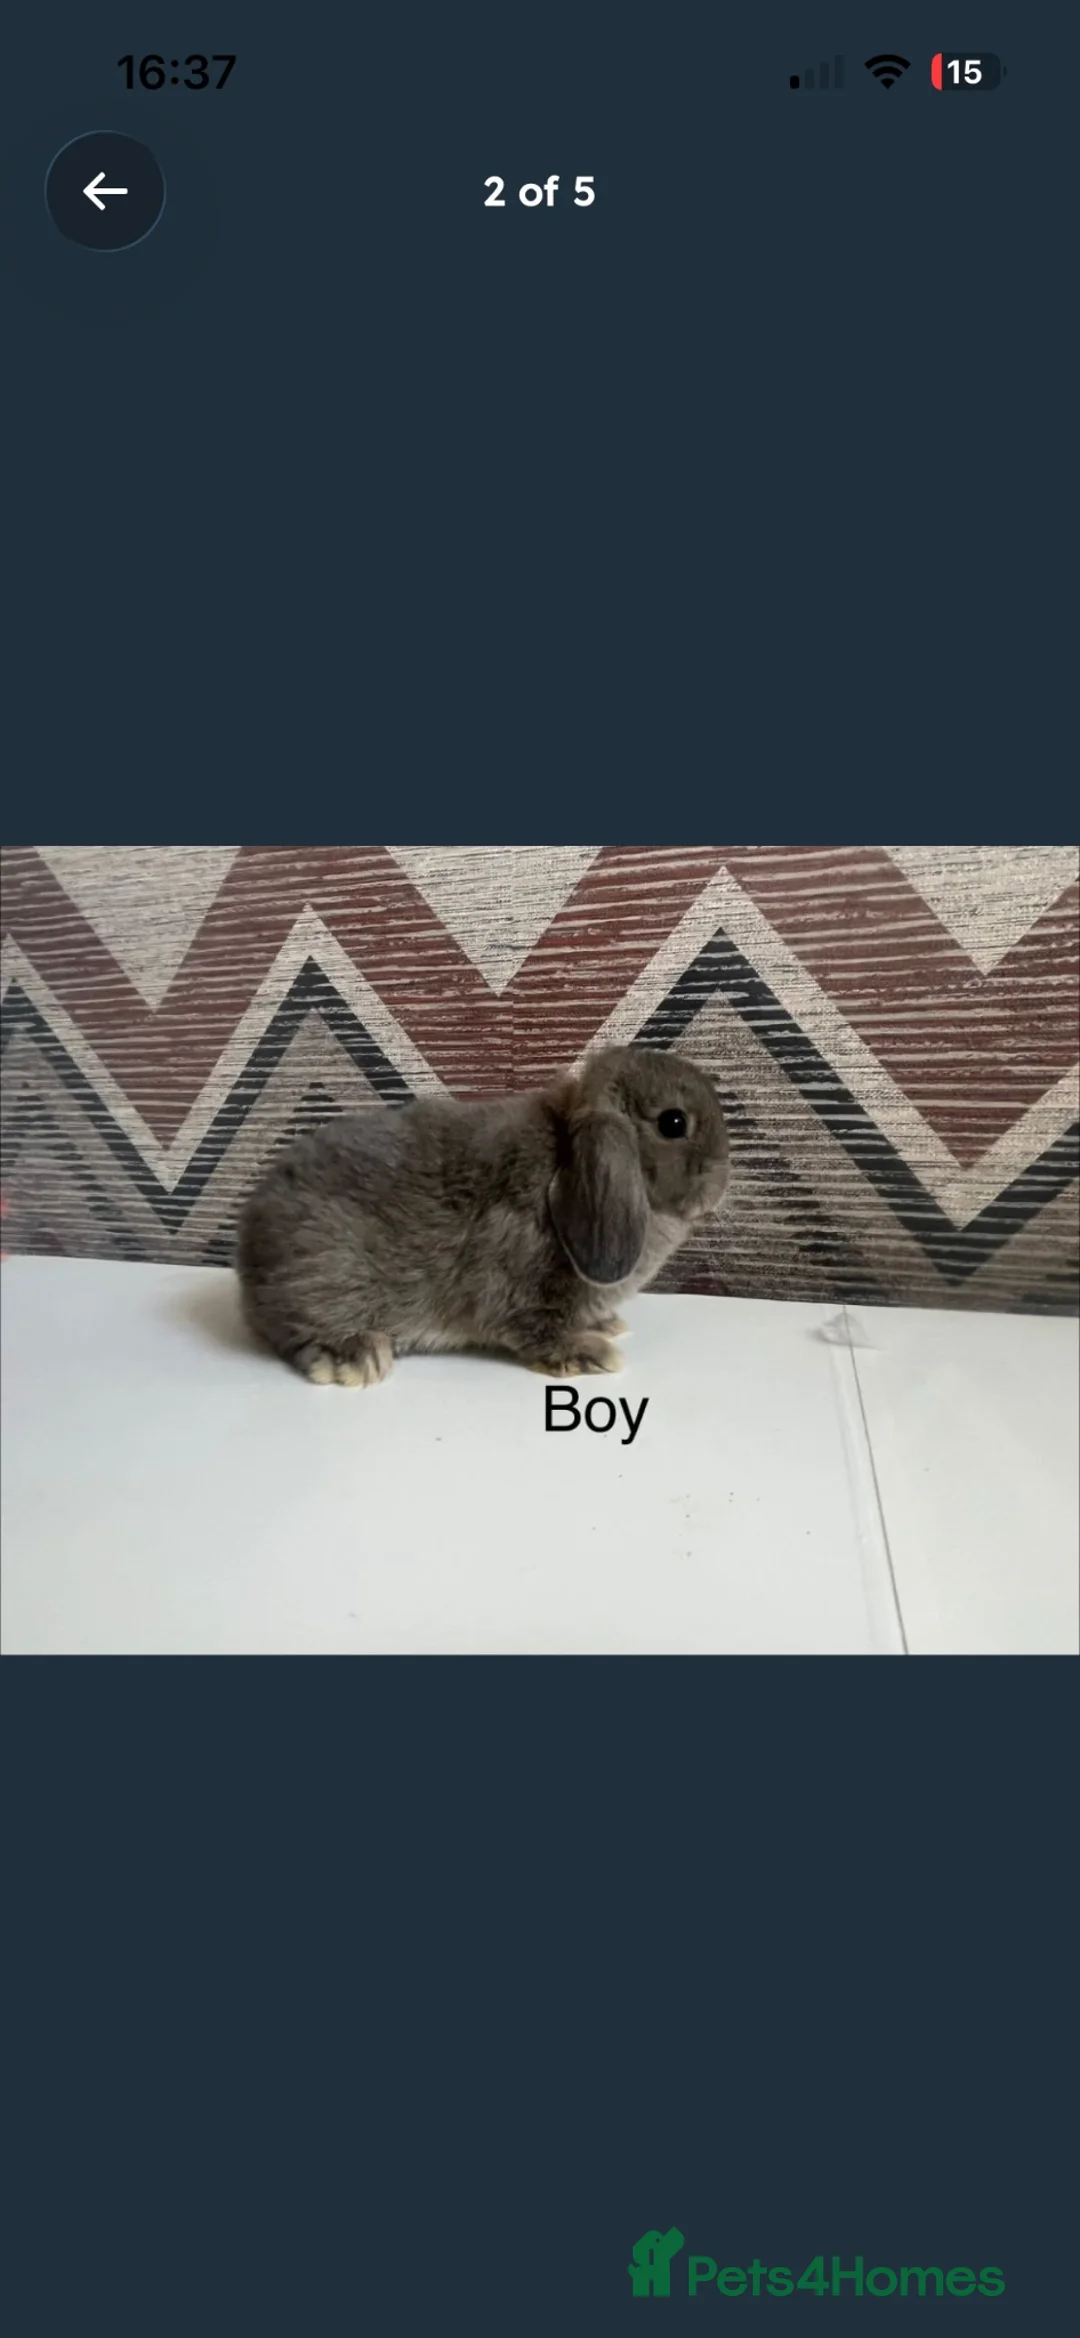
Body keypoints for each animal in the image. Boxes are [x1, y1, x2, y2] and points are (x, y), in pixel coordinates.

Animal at [235, 1045, 729, 1385]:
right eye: (673, 1123)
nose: (722, 1180)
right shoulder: (520, 1289)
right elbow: (537, 1331)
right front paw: (590, 1352)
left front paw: (606, 1325)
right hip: (325, 1275)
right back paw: (356, 1356)